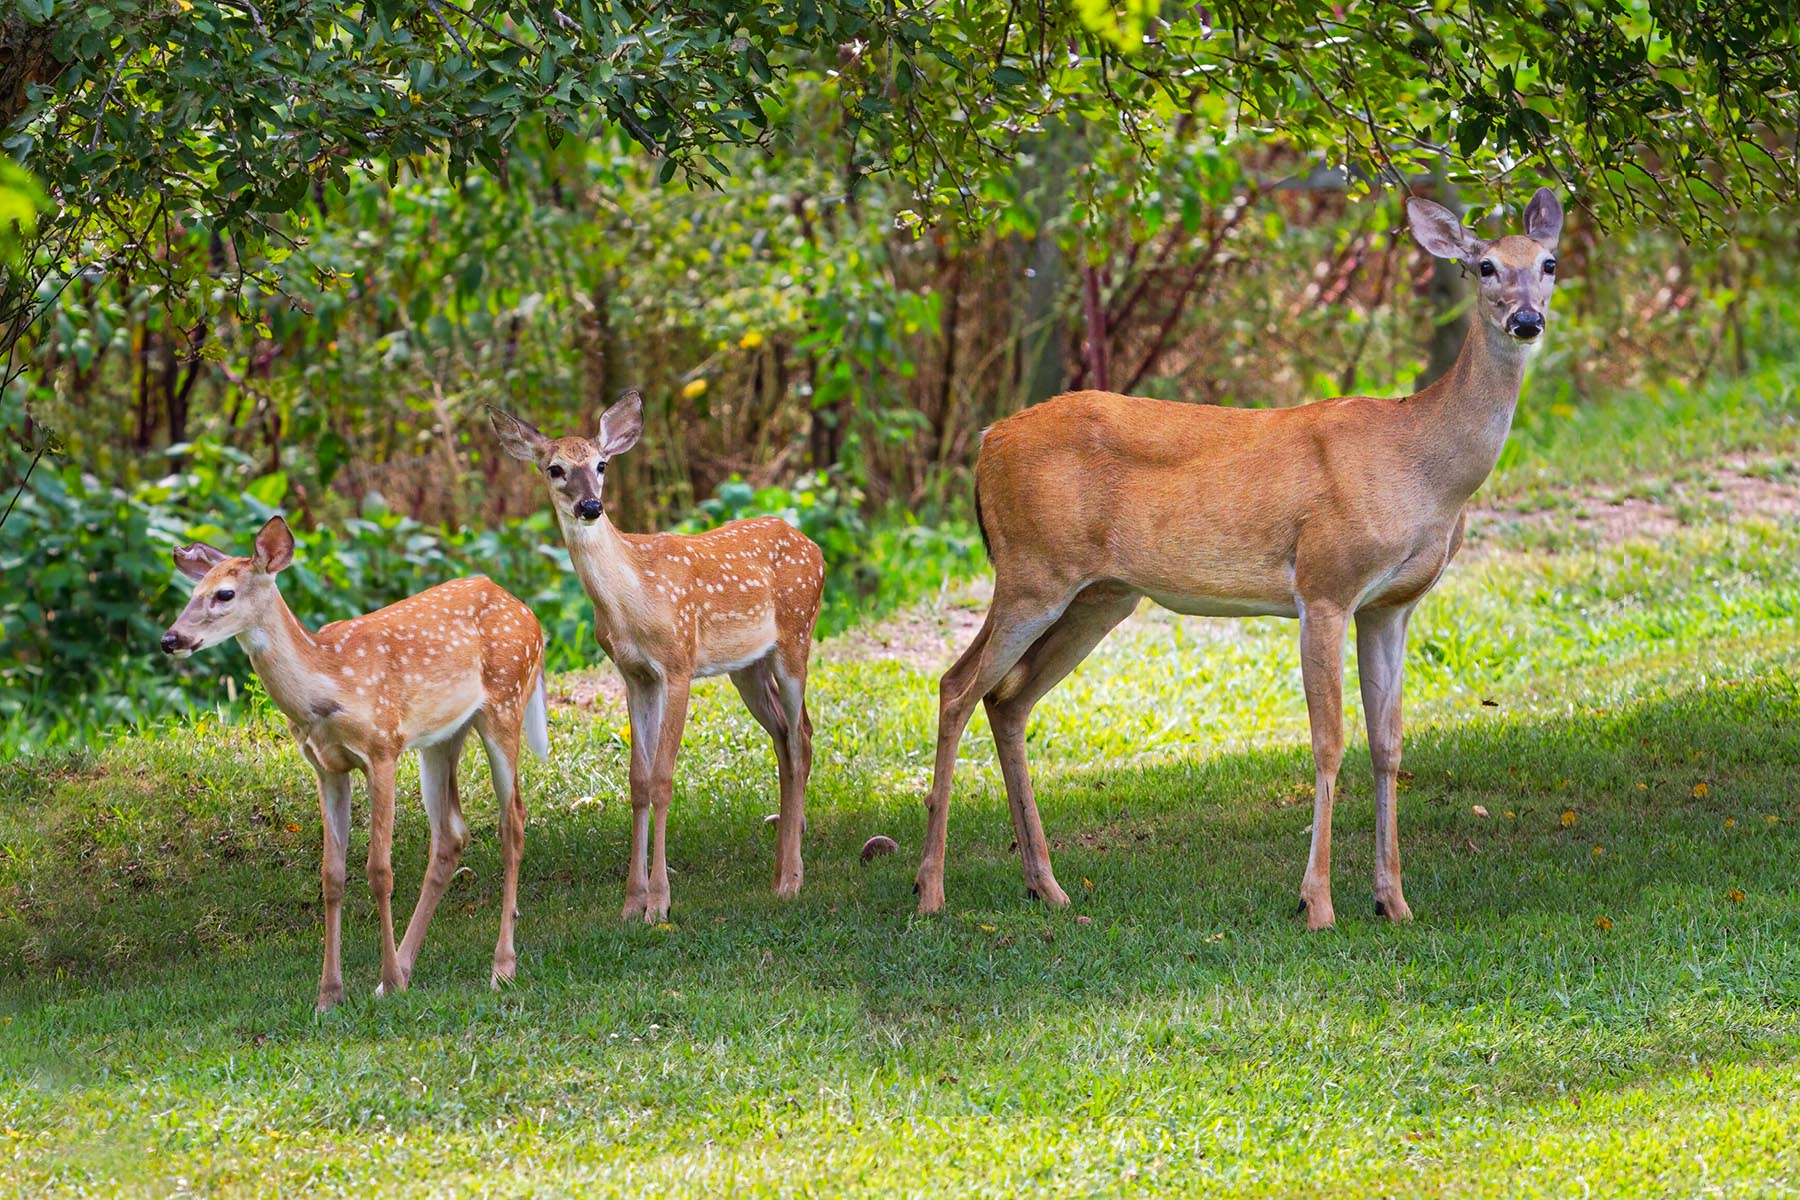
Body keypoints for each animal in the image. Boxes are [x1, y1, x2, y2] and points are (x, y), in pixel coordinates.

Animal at [160, 515, 550, 1011]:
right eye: (191, 593)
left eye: (224, 594)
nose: (170, 639)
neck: (327, 690)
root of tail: (527, 611)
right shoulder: (326, 767)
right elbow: (332, 875)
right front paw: (330, 994)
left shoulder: (383, 749)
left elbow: (379, 871)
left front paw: (386, 982)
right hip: (441, 738)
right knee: (451, 835)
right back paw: (406, 966)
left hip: (505, 701)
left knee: (512, 818)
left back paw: (500, 968)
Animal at [489, 390, 825, 924]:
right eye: (555, 468)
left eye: (602, 464)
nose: (590, 505)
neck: (634, 599)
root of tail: (814, 547)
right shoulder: (634, 674)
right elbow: (639, 780)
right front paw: (632, 902)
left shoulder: (678, 662)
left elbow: (664, 777)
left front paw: (660, 903)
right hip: (747, 667)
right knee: (787, 737)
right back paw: (777, 875)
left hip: (796, 635)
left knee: (801, 739)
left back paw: (792, 879)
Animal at [913, 188, 1564, 929]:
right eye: (1484, 266)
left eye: (1549, 263)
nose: (1526, 320)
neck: (1422, 468)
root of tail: (987, 439)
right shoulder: (1324, 583)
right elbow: (1328, 740)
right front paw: (1317, 903)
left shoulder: (1390, 606)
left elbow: (1389, 744)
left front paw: (1393, 900)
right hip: (1030, 572)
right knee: (957, 686)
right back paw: (932, 891)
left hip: (1097, 596)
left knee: (1007, 698)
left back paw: (1045, 885)